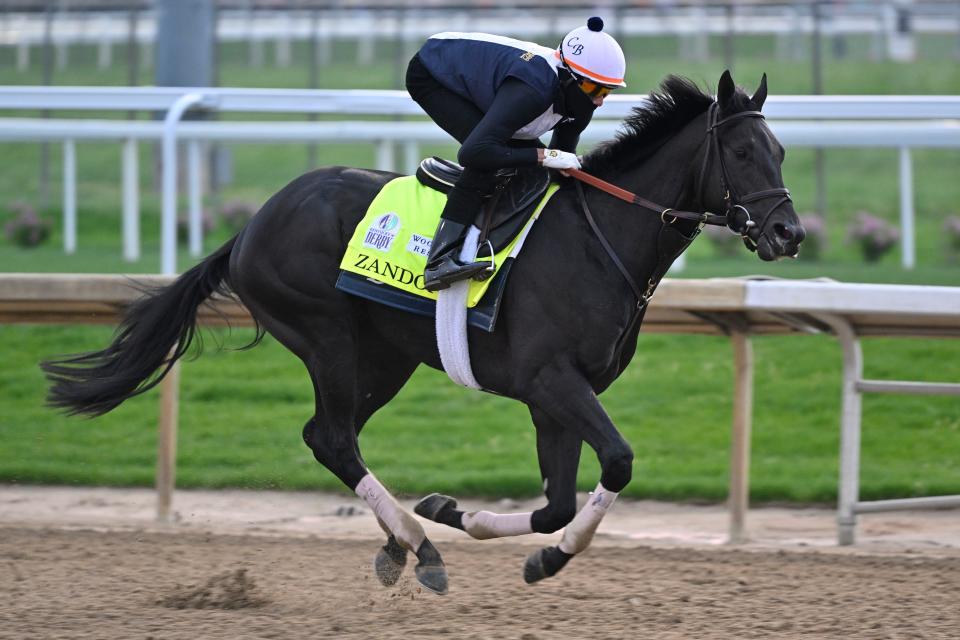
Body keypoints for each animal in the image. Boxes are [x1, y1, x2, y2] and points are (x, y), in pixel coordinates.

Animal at [41, 72, 804, 596]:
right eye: (742, 152)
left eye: (781, 150)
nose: (788, 233)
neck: (600, 240)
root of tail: (251, 225)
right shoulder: (551, 380)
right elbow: (616, 461)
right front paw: (509, 543)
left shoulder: (554, 396)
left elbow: (555, 505)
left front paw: (507, 538)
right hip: (328, 336)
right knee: (333, 438)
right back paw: (417, 545)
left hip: (384, 359)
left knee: (331, 437)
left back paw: (406, 543)